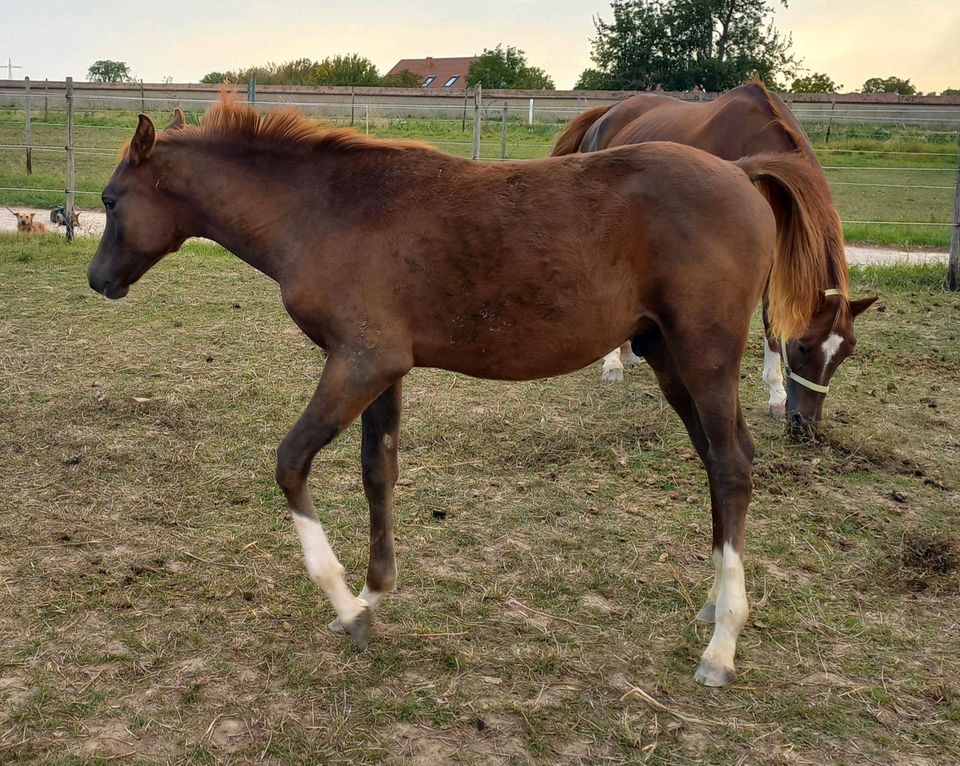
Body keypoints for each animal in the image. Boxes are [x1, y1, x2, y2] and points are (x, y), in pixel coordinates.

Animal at [88, 97, 840, 688]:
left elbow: (291, 462)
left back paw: (722, 642)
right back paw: (714, 603)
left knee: (733, 465)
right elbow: (378, 472)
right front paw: (374, 593)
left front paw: (346, 606)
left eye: (109, 200)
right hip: (667, 358)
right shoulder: (382, 368)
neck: (324, 209)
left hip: (704, 354)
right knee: (720, 460)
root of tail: (741, 173)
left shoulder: (359, 361)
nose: (99, 280)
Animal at [556, 84, 876, 432]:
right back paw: (614, 361)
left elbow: (771, 317)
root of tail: (607, 113)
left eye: (846, 352)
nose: (805, 422)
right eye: (803, 346)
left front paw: (776, 395)